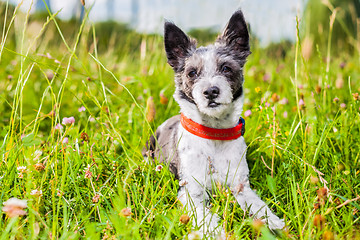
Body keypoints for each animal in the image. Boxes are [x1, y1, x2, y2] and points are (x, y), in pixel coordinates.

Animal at [143, 9, 284, 238]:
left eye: (226, 68)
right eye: (192, 72)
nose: (210, 91)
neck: (213, 133)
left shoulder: (240, 186)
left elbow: (258, 206)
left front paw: (273, 222)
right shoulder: (191, 192)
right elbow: (205, 217)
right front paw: (216, 232)